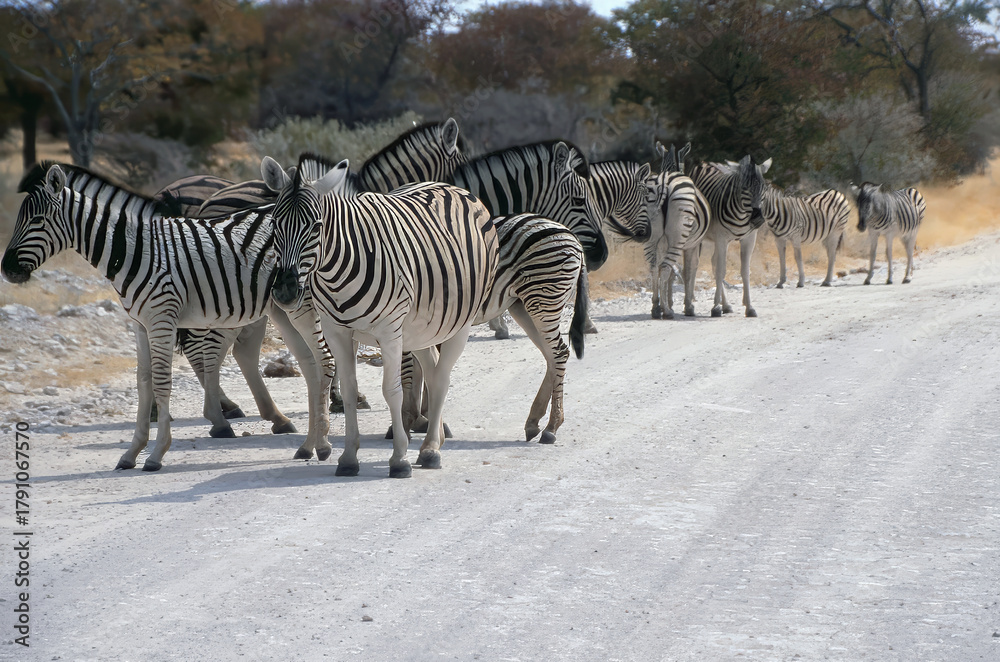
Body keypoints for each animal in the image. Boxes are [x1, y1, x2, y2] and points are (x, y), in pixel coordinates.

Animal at [2, 162, 333, 471]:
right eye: (19, 219)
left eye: (37, 220)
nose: (6, 269)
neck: (136, 250)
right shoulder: (140, 324)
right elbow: (143, 383)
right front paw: (131, 453)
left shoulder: (162, 318)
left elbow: (161, 382)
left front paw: (157, 454)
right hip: (281, 308)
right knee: (308, 364)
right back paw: (306, 443)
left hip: (300, 304)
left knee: (321, 360)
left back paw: (319, 443)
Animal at [263, 155, 499, 478]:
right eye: (275, 223)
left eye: (316, 226)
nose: (285, 291)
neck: (337, 270)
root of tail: (451, 186)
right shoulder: (337, 331)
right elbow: (350, 391)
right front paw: (348, 458)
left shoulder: (389, 331)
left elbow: (391, 391)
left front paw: (399, 459)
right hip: (421, 326)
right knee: (433, 370)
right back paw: (433, 440)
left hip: (458, 322)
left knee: (441, 377)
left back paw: (430, 450)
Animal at [688, 155, 772, 318]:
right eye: (745, 188)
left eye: (764, 188)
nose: (758, 218)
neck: (742, 214)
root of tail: (703, 163)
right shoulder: (721, 238)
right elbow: (721, 270)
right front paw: (715, 307)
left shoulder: (749, 239)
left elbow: (745, 271)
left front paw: (749, 307)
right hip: (696, 237)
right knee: (692, 264)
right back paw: (688, 305)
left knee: (712, 262)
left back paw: (725, 305)